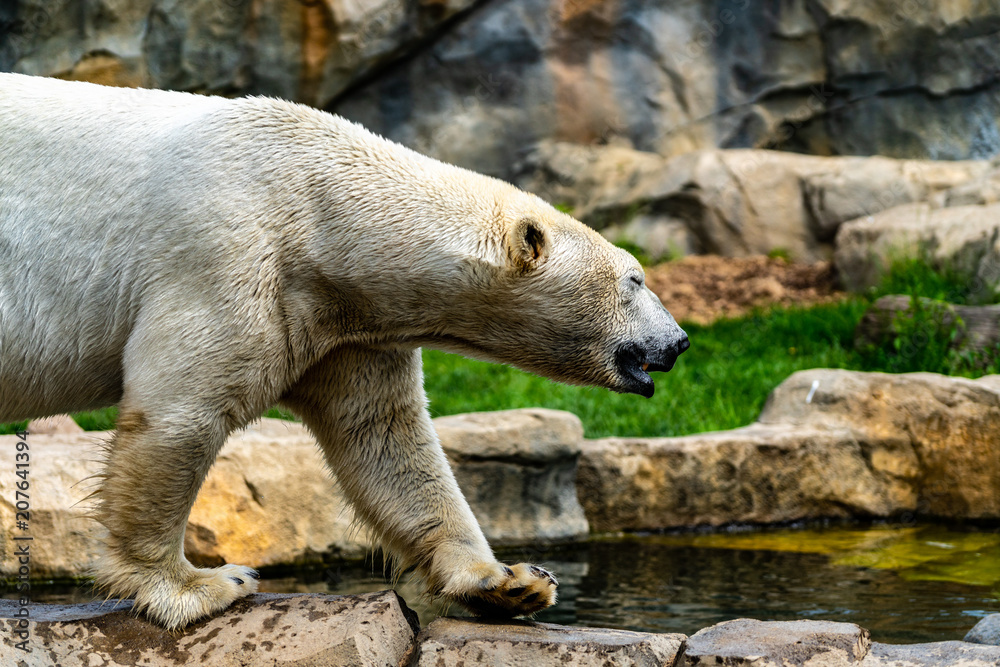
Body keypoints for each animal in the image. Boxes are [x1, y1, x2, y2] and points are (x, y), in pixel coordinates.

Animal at [0, 74, 688, 632]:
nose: (679, 341)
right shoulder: (226, 257)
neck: (319, 210)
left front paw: (509, 583)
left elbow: (384, 436)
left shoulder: (347, 321)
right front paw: (202, 585)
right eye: (636, 279)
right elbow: (180, 414)